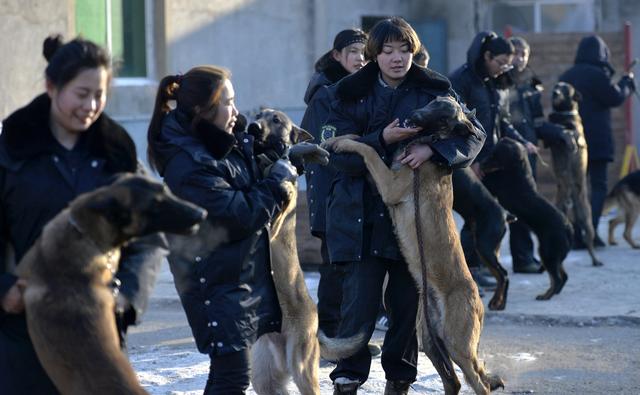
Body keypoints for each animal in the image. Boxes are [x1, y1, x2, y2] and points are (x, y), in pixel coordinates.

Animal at [246, 109, 364, 395]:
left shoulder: (274, 221)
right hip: (264, 379)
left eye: (276, 120)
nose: (252, 127)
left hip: (302, 369)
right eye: (259, 114)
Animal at [324, 96, 504, 395]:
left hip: (457, 344)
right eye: (434, 102)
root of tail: (478, 299)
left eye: (443, 117)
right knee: (454, 381)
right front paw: (338, 138)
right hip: (430, 340)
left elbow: (368, 150)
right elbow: (366, 141)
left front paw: (344, 143)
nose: (413, 116)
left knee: (479, 383)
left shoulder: (389, 185)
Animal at [452, 169, 512, 310]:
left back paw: (499, 303)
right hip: (487, 250)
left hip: (485, 247)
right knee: (500, 277)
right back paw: (497, 302)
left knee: (504, 275)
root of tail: (505, 214)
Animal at [482, 138, 572, 300]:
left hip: (548, 252)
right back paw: (551, 293)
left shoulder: (495, 183)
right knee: (562, 276)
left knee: (557, 278)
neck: (518, 168)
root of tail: (569, 228)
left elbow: (488, 179)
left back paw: (545, 296)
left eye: (494, 156)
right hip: (554, 253)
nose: (481, 164)